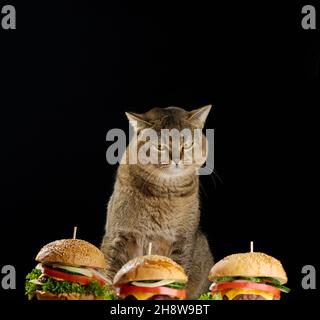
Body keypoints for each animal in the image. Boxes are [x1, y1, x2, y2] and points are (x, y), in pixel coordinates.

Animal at [101, 106, 214, 298]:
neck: (163, 194)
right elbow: (110, 271)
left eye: (187, 144)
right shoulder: (119, 234)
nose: (176, 160)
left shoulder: (183, 241)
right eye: (160, 147)